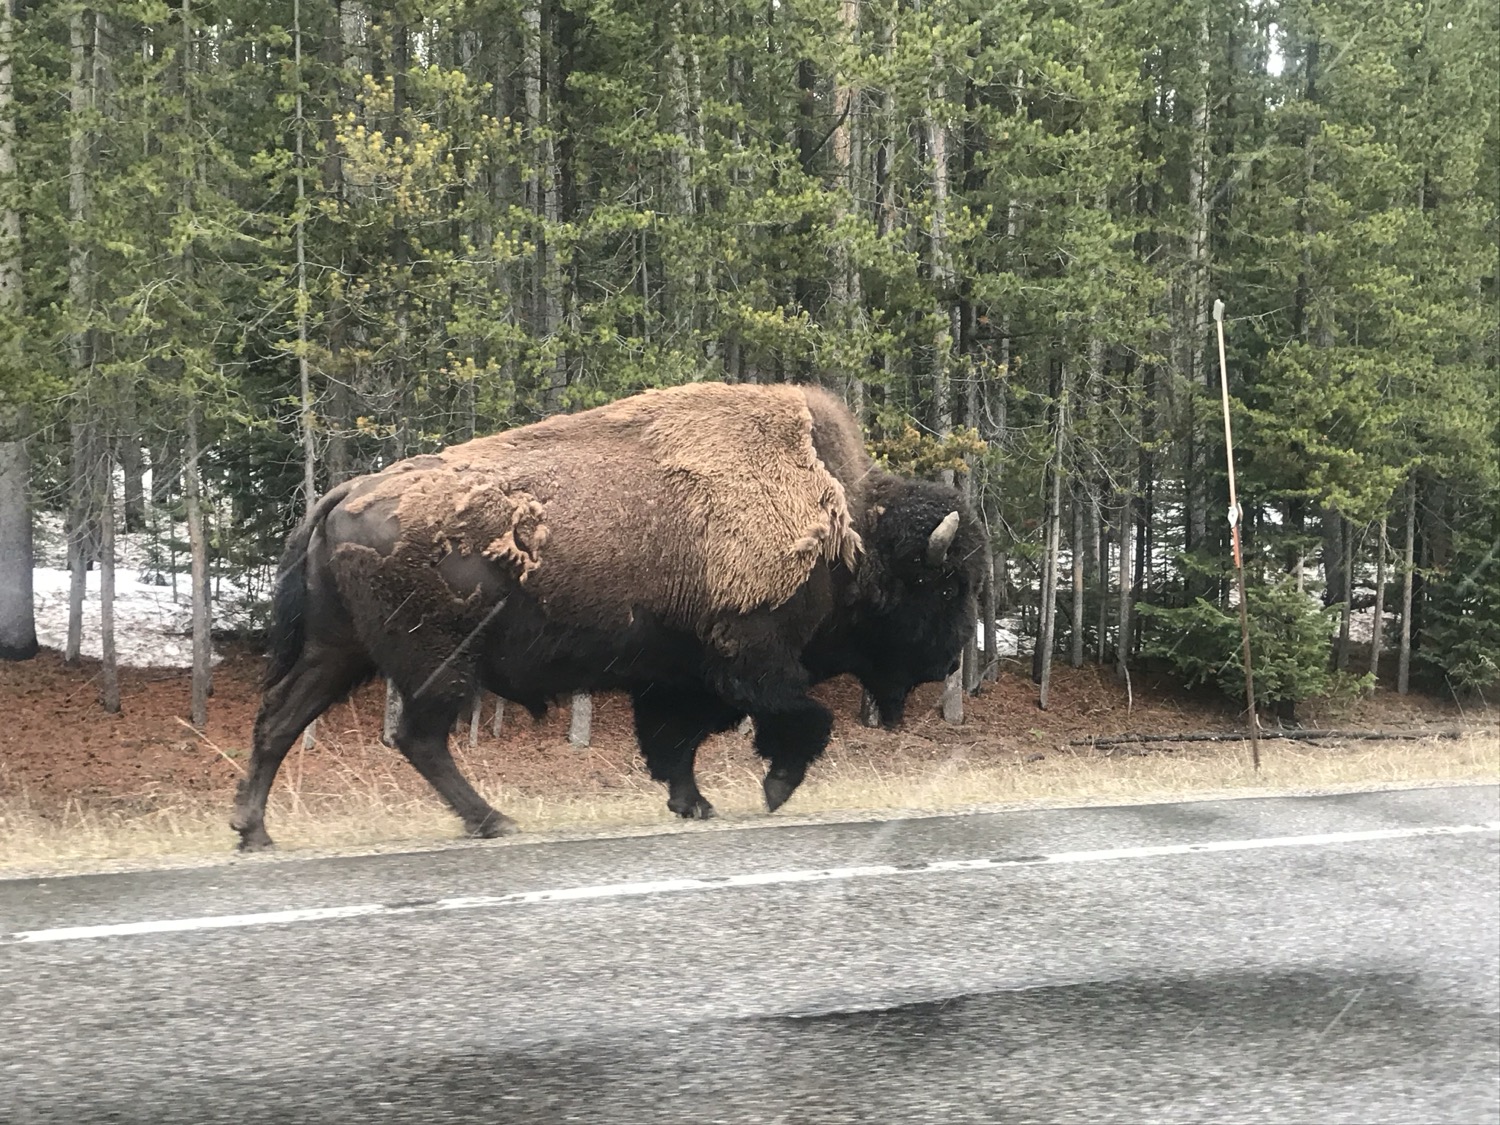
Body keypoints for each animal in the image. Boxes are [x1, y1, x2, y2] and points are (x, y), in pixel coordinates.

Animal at [232, 382, 985, 850]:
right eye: (941, 587)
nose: (950, 659)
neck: (849, 531)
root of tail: (343, 493)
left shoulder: (676, 675)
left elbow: (674, 742)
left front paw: (693, 803)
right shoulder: (751, 657)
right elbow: (799, 717)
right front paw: (772, 790)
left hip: (340, 651)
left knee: (282, 720)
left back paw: (253, 830)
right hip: (438, 663)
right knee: (418, 738)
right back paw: (494, 821)